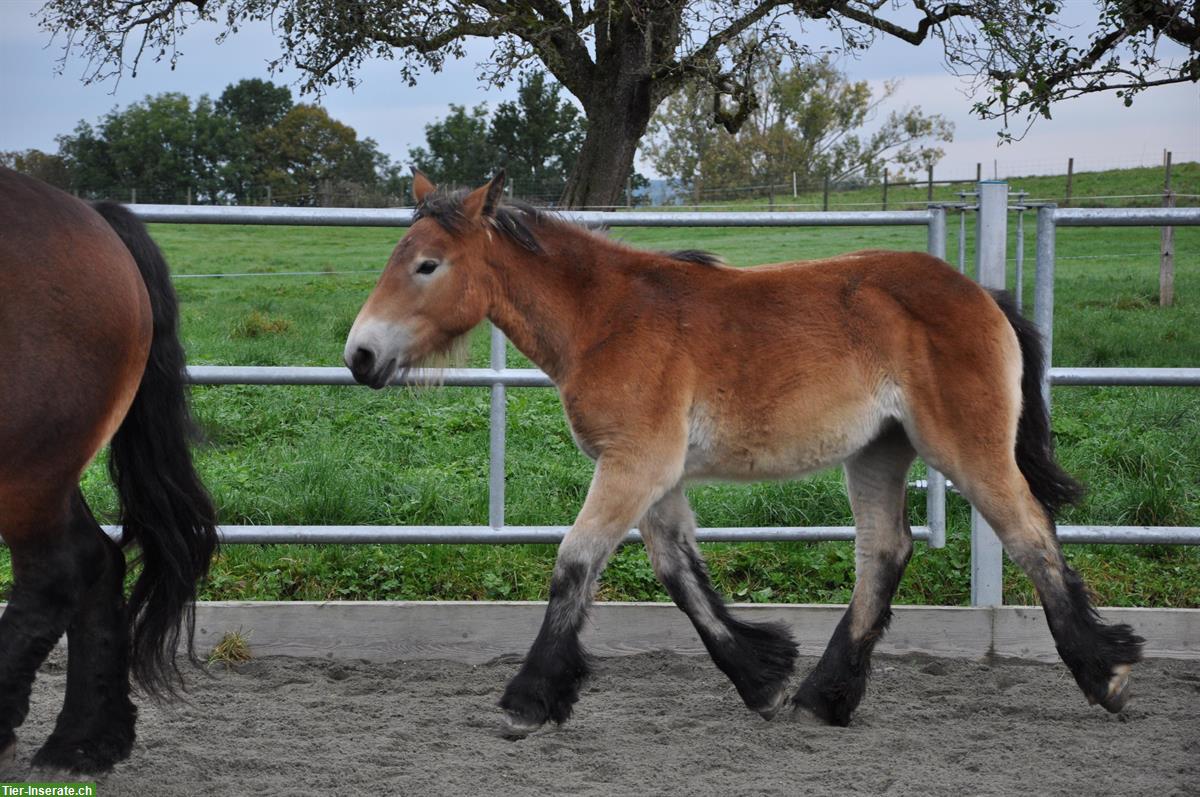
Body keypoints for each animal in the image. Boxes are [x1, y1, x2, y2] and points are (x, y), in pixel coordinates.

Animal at [0, 168, 218, 772]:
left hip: (27, 465)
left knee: (57, 573)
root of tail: (92, 216)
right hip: (53, 464)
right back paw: (87, 739)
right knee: (101, 558)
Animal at [345, 171, 1142, 739]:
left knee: (1029, 533)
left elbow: (576, 561)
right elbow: (679, 572)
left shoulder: (633, 465)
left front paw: (528, 699)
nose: (360, 356)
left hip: (968, 450)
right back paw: (824, 697)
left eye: (426, 265)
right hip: (878, 453)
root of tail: (980, 293)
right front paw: (764, 678)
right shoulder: (654, 475)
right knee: (883, 551)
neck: (606, 318)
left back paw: (1104, 674)